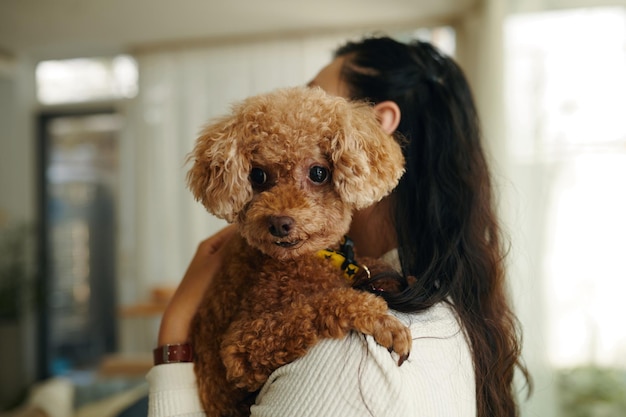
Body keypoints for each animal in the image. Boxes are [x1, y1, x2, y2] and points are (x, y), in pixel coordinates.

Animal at [185, 86, 410, 414]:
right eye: (257, 176)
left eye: (318, 173)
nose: (279, 224)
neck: (304, 260)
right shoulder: (242, 346)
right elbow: (317, 306)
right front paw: (379, 319)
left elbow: (368, 265)